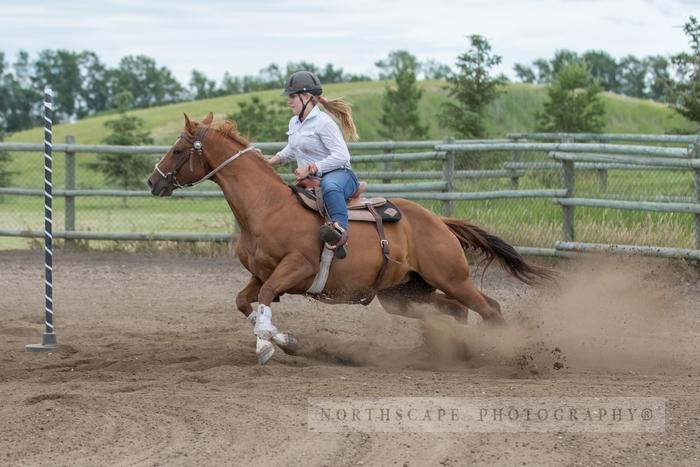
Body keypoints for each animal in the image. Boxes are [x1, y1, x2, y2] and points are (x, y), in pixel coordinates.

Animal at [148, 113, 552, 366]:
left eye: (178, 150)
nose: (153, 182)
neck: (266, 208)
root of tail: (439, 221)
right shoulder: (260, 273)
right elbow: (245, 302)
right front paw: (284, 340)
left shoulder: (297, 268)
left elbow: (264, 299)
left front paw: (267, 344)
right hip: (404, 294)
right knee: (457, 309)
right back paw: (456, 352)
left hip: (451, 277)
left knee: (490, 309)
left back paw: (507, 355)